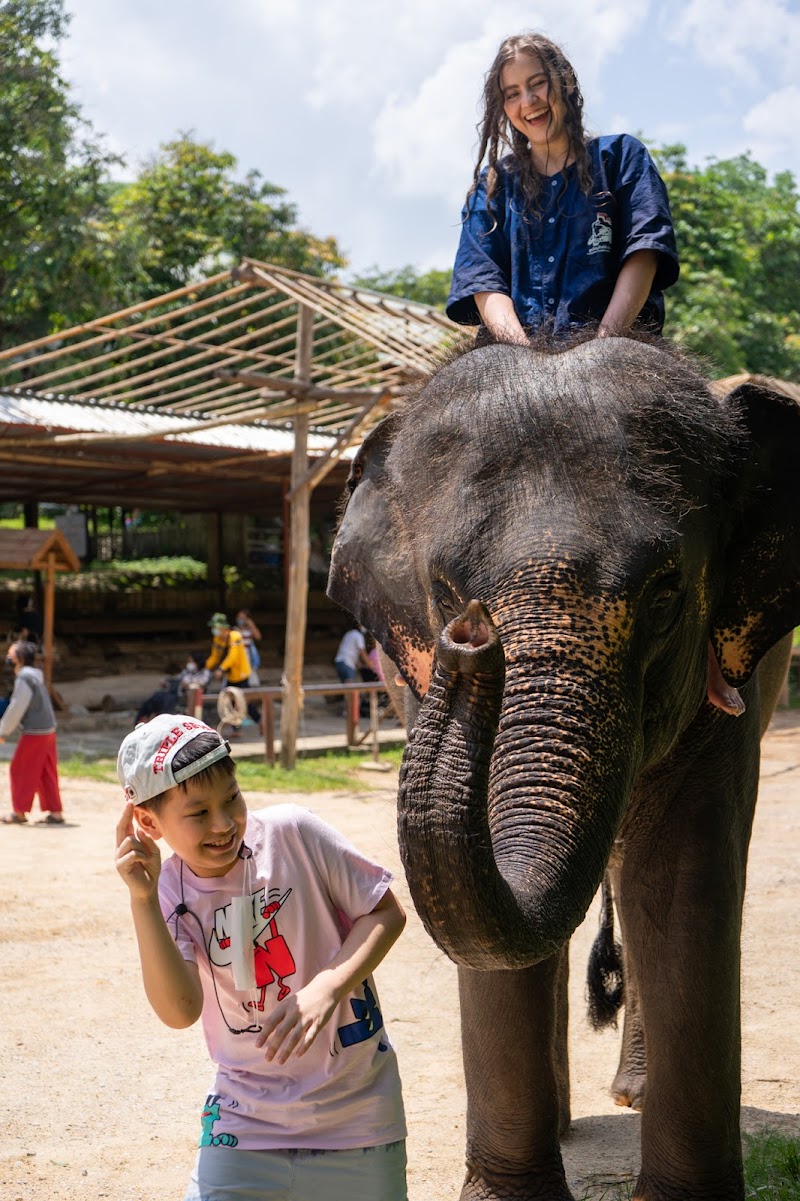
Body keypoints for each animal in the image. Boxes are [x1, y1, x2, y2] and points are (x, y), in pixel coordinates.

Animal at [327, 333, 800, 1201]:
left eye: (666, 595)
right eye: (444, 591)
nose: (470, 635)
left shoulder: (724, 686)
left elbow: (681, 881)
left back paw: (632, 1092)